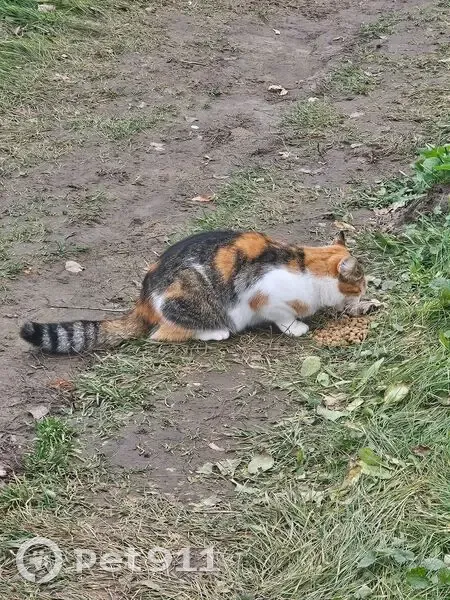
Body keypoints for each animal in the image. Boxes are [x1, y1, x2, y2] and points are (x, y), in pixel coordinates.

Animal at [20, 229, 378, 354]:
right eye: (359, 283)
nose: (365, 291)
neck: (304, 264)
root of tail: (144, 297)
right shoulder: (265, 296)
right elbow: (283, 315)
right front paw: (297, 328)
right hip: (188, 300)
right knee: (162, 335)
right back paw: (216, 332)